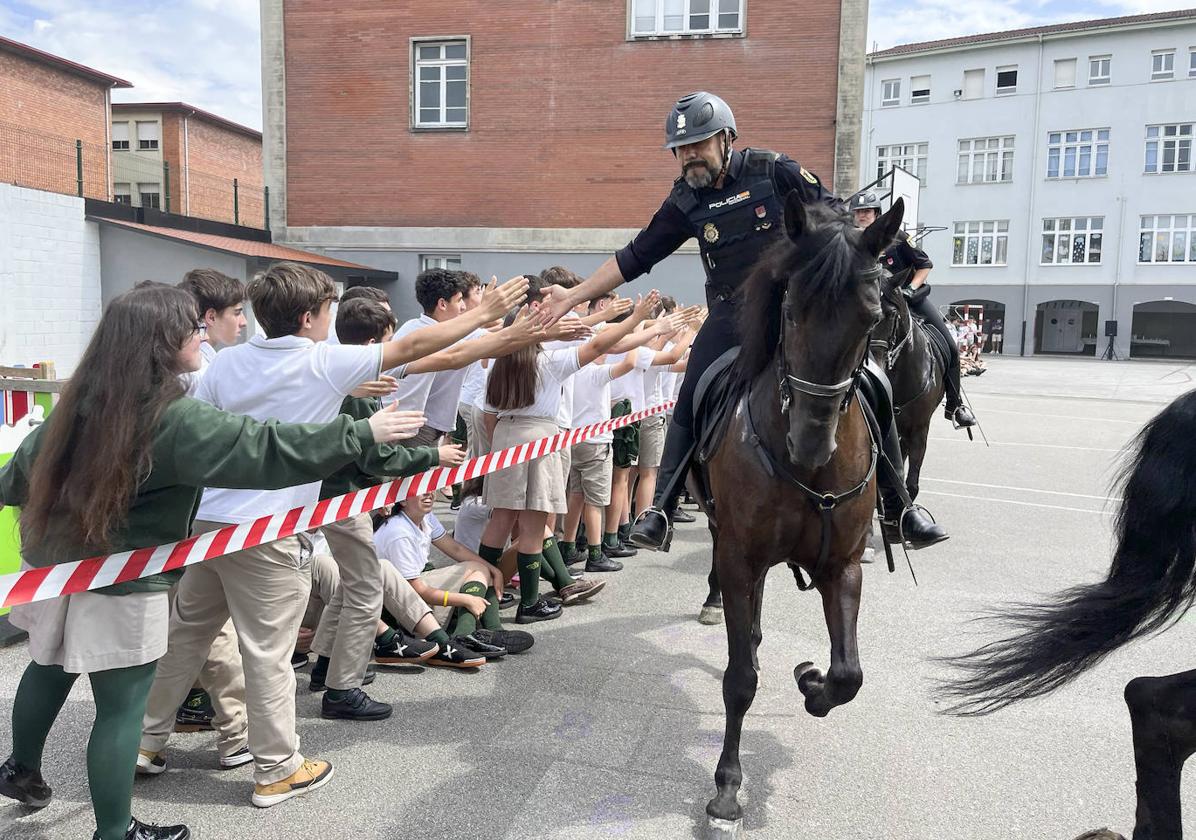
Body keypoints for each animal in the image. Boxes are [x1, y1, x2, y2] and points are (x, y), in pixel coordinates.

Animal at [693, 196, 904, 837]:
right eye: (788, 309)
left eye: (871, 317)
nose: (811, 444)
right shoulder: (738, 554)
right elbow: (739, 681)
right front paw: (727, 788)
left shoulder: (842, 565)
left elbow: (848, 674)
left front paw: (811, 683)